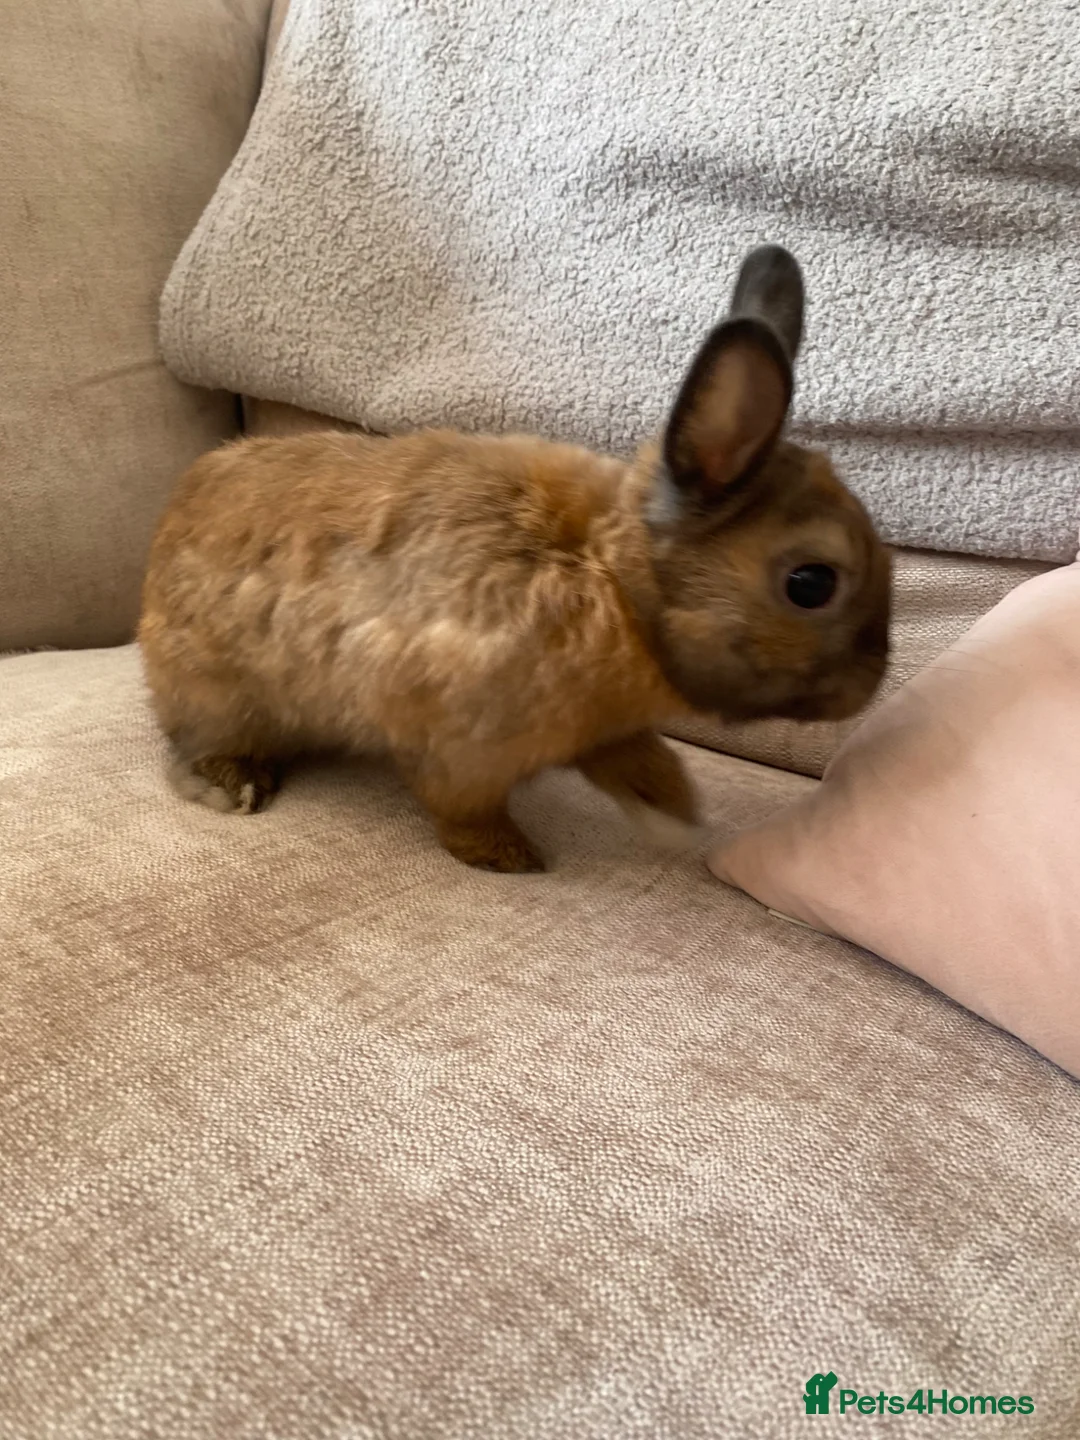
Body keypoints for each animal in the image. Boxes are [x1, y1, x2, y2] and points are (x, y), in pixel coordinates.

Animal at [139, 245, 891, 873]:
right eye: (811, 583)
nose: (870, 687)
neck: (614, 582)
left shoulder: (603, 734)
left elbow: (643, 764)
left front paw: (676, 819)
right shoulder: (462, 751)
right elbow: (462, 809)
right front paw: (511, 859)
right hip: (222, 696)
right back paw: (235, 786)